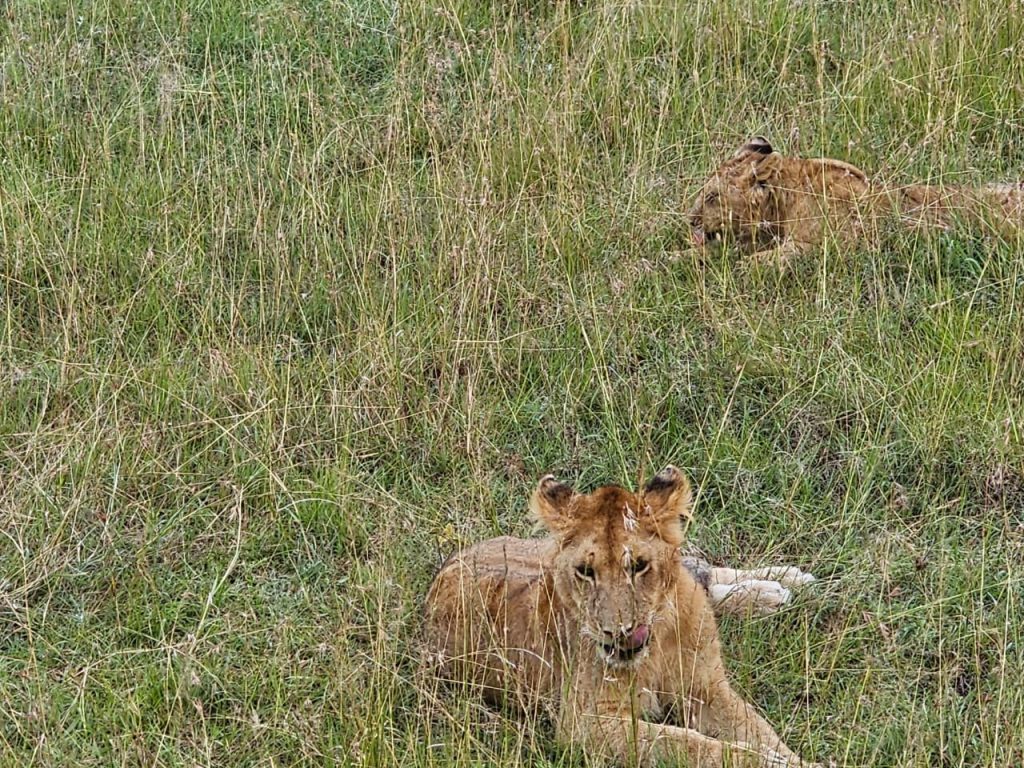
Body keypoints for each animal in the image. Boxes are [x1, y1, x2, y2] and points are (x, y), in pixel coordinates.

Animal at [423, 466, 822, 767]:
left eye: (639, 566)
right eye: (586, 572)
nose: (620, 633)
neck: (657, 645)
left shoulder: (708, 688)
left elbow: (761, 730)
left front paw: (793, 760)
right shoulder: (586, 722)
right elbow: (687, 743)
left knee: (703, 574)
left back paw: (787, 584)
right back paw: (779, 592)